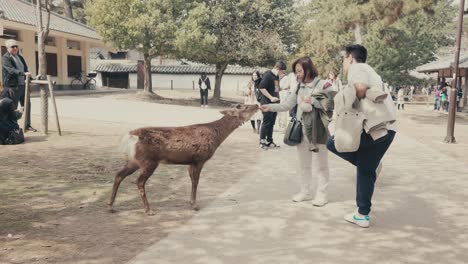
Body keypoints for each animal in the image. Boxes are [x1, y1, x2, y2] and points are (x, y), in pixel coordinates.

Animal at [109, 103, 260, 214]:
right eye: (244, 107)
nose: (257, 104)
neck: (217, 137)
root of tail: (128, 138)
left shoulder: (190, 162)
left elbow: (192, 180)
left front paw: (190, 202)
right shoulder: (199, 158)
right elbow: (196, 181)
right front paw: (194, 205)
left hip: (134, 161)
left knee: (118, 174)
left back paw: (111, 206)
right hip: (148, 161)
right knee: (139, 181)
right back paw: (148, 210)